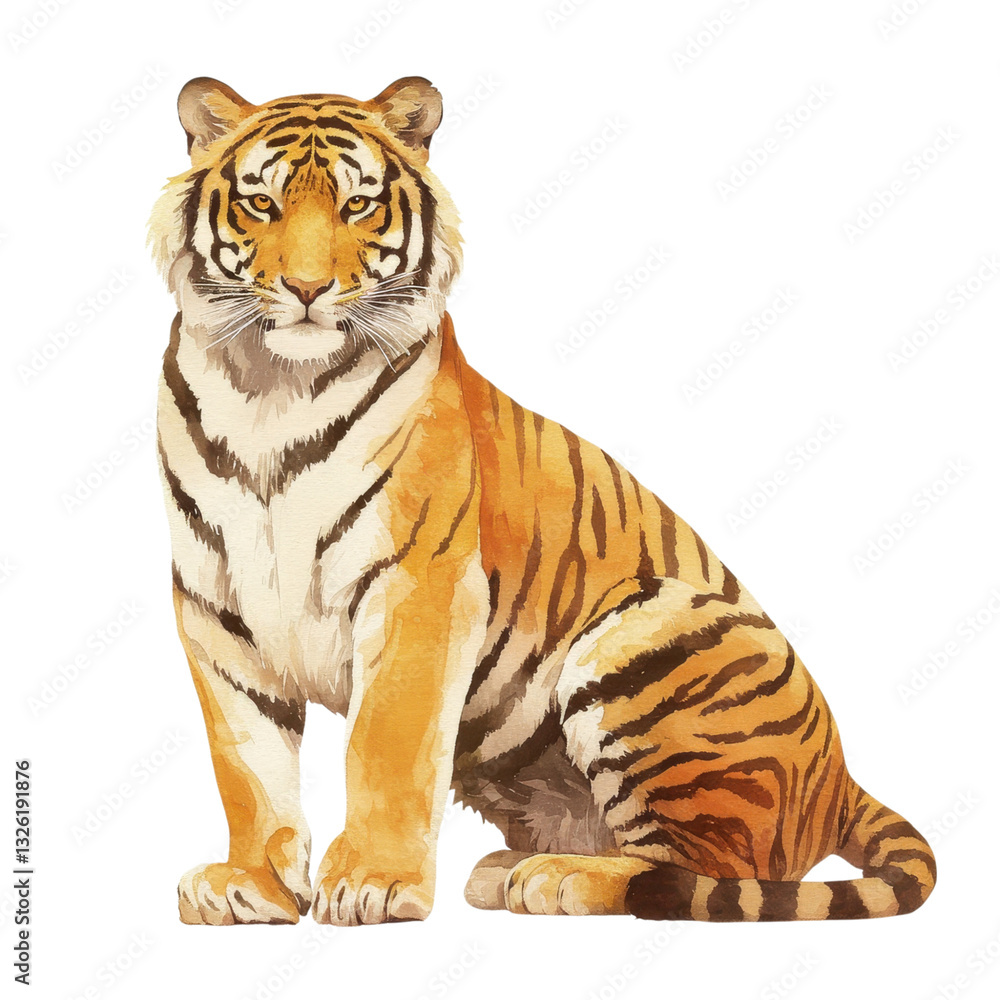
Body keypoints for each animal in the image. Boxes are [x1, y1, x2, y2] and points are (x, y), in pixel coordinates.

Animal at [148, 75, 936, 926]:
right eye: (261, 205)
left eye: (357, 206)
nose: (305, 289)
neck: (269, 393)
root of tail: (842, 783)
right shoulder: (215, 605)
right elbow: (247, 763)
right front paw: (249, 883)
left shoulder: (418, 586)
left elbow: (384, 744)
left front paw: (372, 884)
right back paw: (511, 868)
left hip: (645, 635)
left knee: (707, 869)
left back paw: (559, 878)